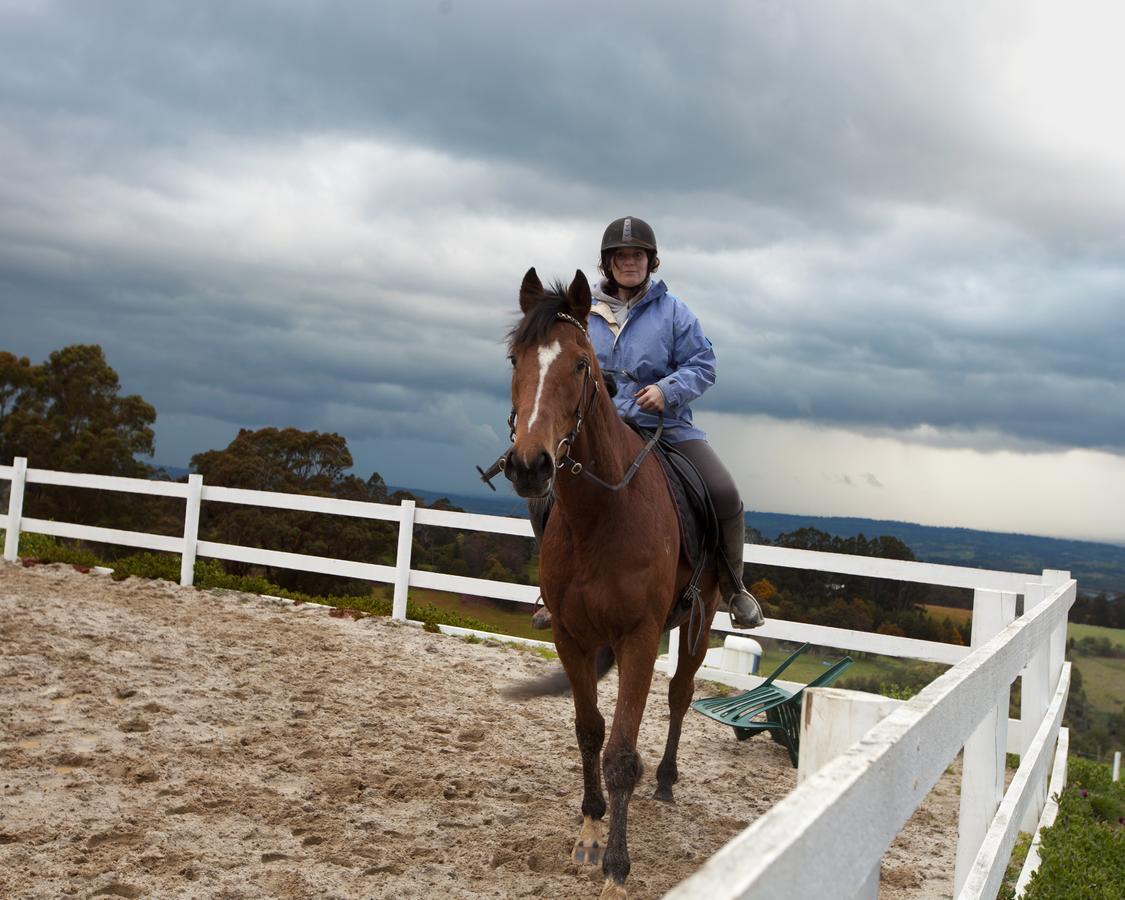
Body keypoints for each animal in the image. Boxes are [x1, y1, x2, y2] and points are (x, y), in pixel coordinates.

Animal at [504, 268, 720, 900]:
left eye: (581, 364)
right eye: (515, 359)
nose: (530, 466)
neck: (601, 515)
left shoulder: (639, 639)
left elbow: (622, 753)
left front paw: (619, 869)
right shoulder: (572, 638)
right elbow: (589, 732)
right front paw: (591, 832)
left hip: (697, 627)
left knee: (680, 696)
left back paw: (667, 780)